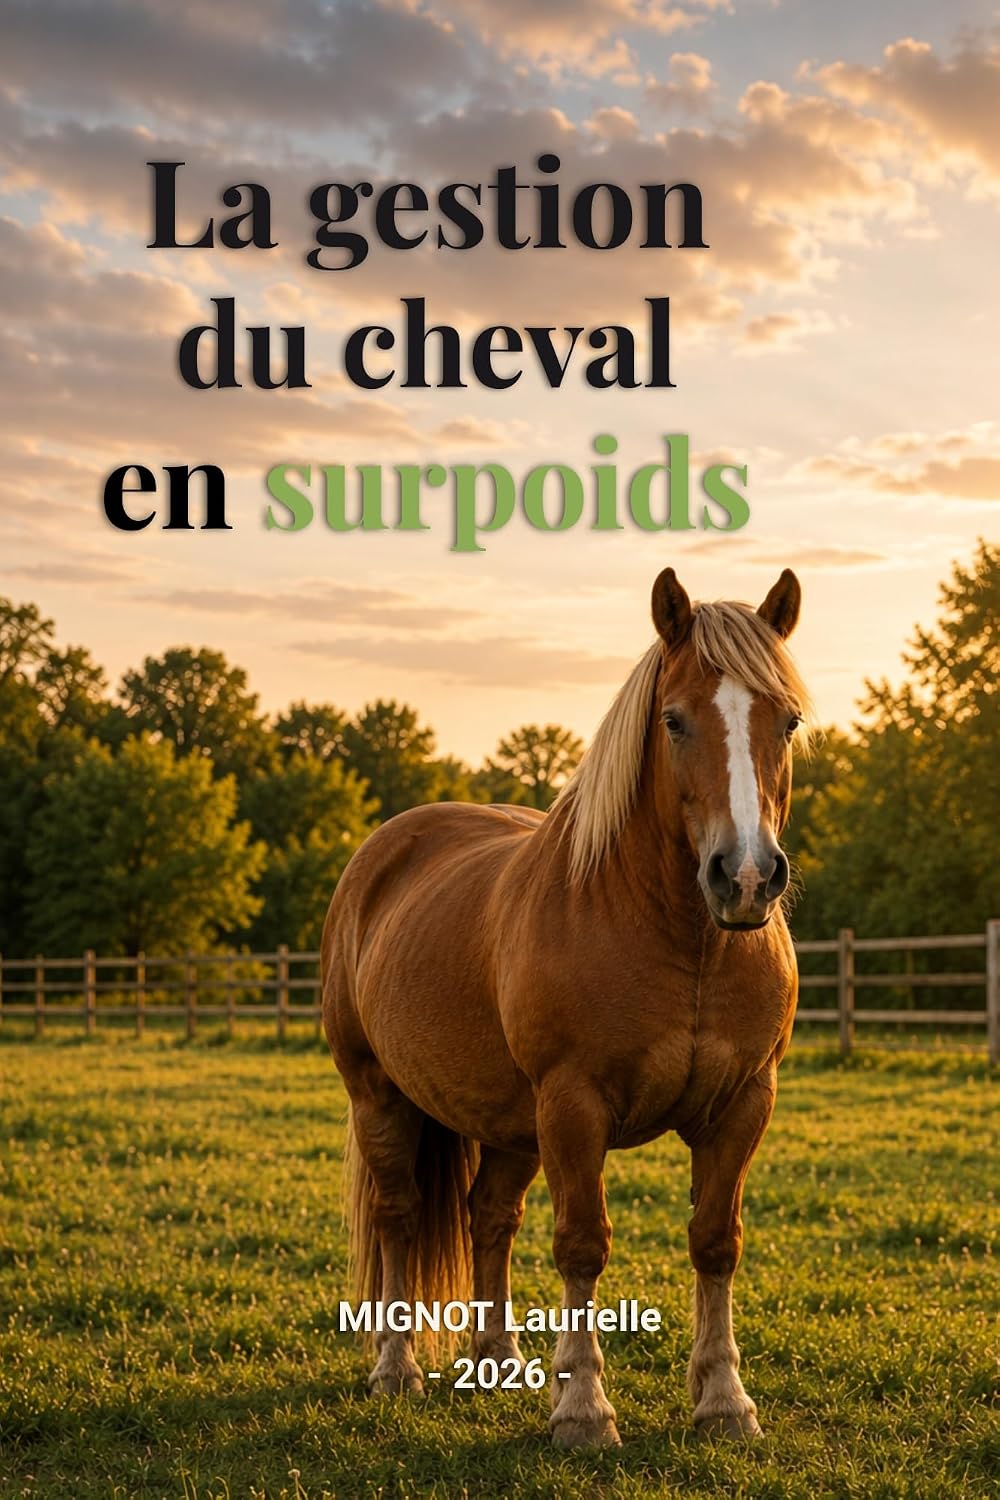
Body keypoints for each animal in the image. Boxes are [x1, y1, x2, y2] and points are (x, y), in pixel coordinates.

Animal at [322, 566, 810, 1448]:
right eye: (675, 720)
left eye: (786, 721)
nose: (747, 877)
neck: (681, 939)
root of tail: (383, 851)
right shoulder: (574, 1106)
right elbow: (583, 1246)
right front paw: (584, 1409)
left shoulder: (742, 1105)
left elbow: (715, 1244)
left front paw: (725, 1402)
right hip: (381, 1094)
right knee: (397, 1216)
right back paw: (395, 1368)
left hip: (510, 1121)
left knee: (489, 1217)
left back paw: (498, 1359)